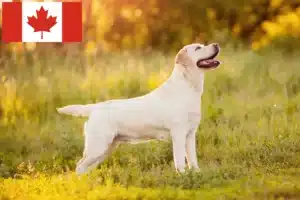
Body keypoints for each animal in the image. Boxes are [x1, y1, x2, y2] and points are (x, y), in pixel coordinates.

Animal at [57, 43, 220, 174]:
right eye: (198, 48)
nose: (216, 45)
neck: (189, 86)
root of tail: (95, 108)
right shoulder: (178, 134)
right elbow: (180, 160)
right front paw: (183, 176)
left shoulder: (190, 134)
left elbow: (192, 159)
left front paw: (197, 174)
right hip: (98, 146)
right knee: (80, 166)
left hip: (106, 147)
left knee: (86, 167)